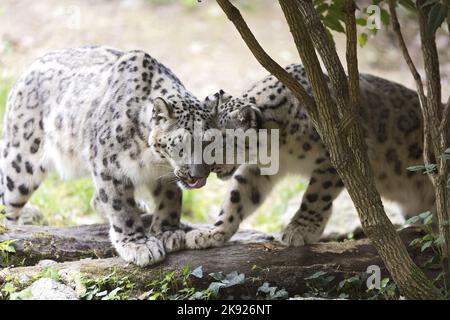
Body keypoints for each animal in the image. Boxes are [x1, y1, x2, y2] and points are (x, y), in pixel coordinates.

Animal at [183, 63, 436, 249]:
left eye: (217, 145)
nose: (205, 170)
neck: (279, 149)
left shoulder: (339, 155)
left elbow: (316, 194)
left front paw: (300, 229)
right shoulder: (258, 169)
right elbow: (237, 197)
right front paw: (212, 232)